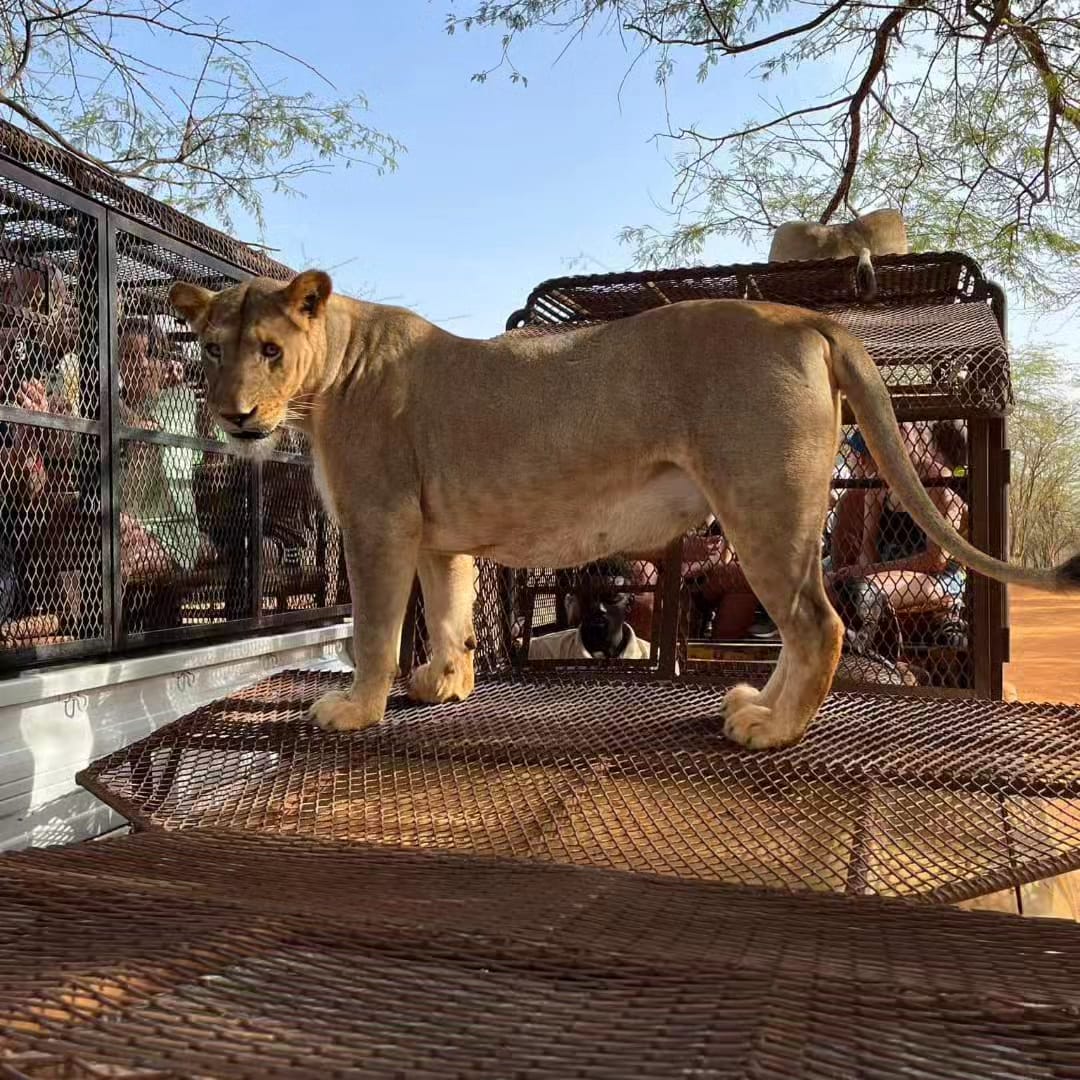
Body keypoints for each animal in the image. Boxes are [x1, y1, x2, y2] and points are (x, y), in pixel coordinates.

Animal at [168, 271, 1078, 750]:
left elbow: (374, 630)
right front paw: (444, 685)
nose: (235, 416)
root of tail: (807, 317)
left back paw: (772, 730)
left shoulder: (377, 519)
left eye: (270, 350)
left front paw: (355, 709)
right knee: (799, 627)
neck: (328, 373)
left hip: (760, 501)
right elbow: (451, 612)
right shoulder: (434, 534)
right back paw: (752, 706)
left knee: (818, 624)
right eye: (211, 350)